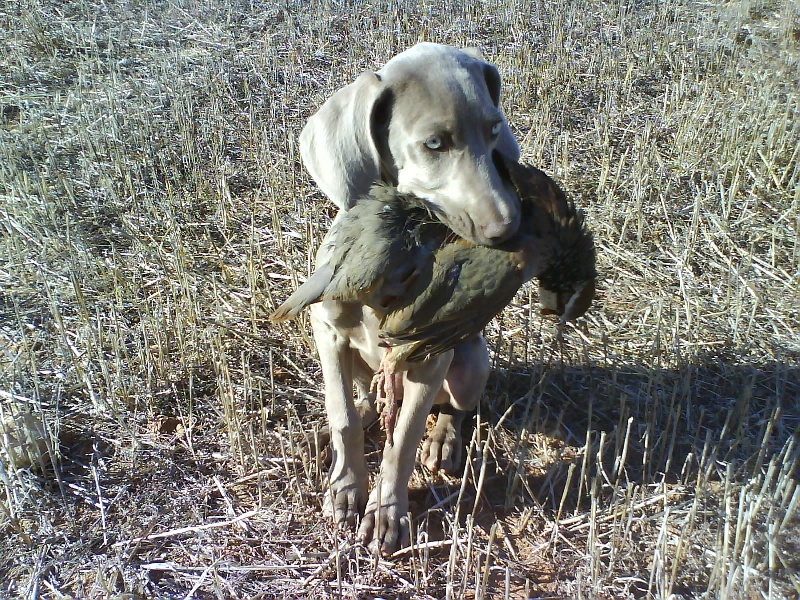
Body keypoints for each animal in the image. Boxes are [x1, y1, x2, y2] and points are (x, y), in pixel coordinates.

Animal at [298, 42, 520, 556]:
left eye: (493, 130)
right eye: (435, 144)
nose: (510, 228)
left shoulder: (427, 359)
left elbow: (402, 441)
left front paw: (386, 513)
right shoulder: (327, 331)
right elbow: (343, 416)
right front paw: (345, 488)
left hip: (471, 361)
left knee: (453, 409)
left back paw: (443, 440)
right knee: (361, 400)